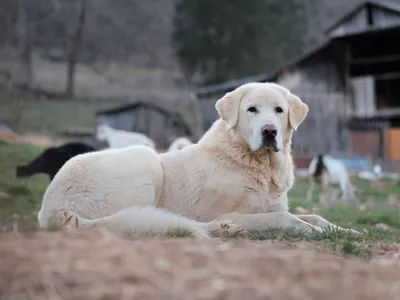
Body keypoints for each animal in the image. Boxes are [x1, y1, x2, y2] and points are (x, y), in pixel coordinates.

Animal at [39, 82, 360, 239]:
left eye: (279, 110)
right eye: (252, 110)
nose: (269, 131)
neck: (255, 163)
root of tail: (49, 210)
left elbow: (316, 216)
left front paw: (348, 231)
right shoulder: (239, 211)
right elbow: (287, 218)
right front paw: (317, 232)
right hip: (145, 160)